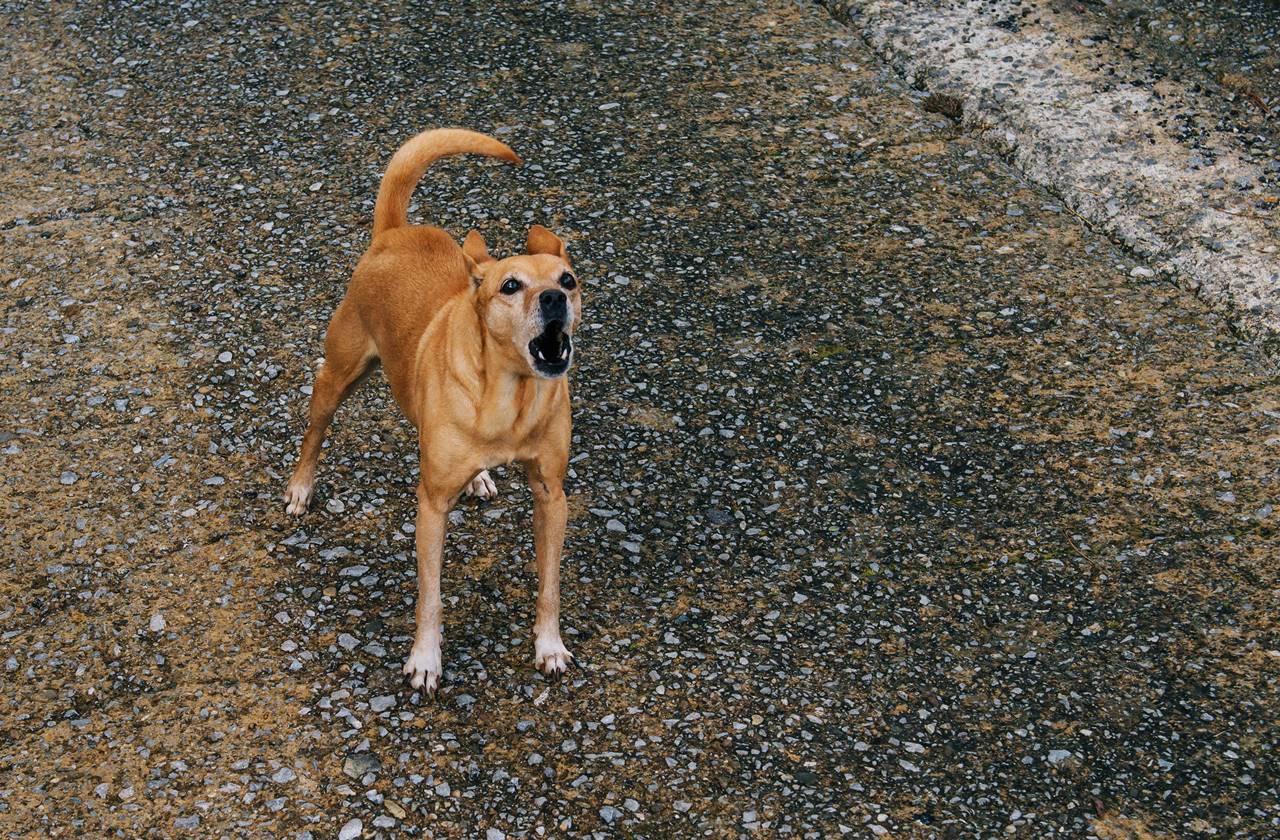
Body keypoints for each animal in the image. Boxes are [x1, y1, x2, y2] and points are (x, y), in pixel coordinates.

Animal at [285, 129, 581, 696]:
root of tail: (394, 232)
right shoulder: (431, 506)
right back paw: (300, 489)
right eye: (511, 285)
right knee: (314, 429)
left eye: (569, 279)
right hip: (338, 376)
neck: (507, 396)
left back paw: (481, 477)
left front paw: (549, 646)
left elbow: (551, 584)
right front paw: (425, 659)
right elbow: (430, 595)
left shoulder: (551, 495)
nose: (555, 298)